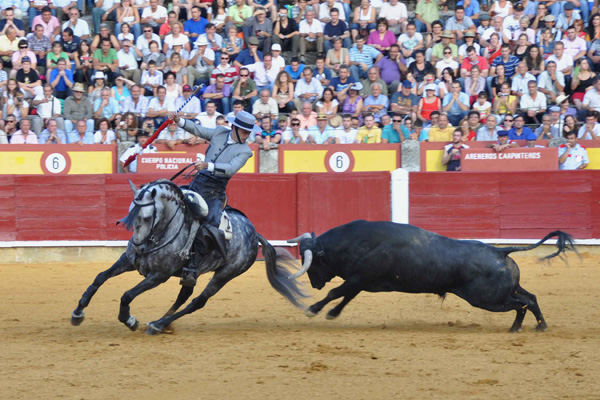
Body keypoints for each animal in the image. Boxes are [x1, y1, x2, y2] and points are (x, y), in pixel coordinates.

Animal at [70, 179, 308, 334]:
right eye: (130, 213)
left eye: (146, 217)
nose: (138, 248)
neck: (162, 231)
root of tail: (255, 233)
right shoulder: (128, 261)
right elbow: (100, 277)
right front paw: (78, 313)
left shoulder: (158, 276)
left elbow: (127, 295)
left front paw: (129, 320)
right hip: (192, 274)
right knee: (184, 295)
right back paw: (162, 322)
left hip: (225, 274)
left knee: (197, 301)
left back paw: (158, 325)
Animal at [290, 220, 576, 332]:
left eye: (312, 265)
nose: (314, 284)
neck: (355, 243)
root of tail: (500, 250)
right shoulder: (361, 281)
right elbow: (346, 296)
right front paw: (331, 313)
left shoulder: (359, 278)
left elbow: (337, 292)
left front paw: (314, 309)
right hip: (507, 290)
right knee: (532, 298)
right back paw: (540, 326)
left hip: (489, 299)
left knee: (522, 304)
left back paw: (516, 328)